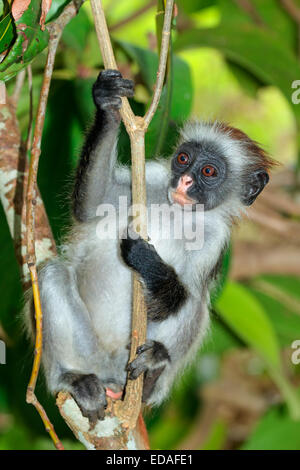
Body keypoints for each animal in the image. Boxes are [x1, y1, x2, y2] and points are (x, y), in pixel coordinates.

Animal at [25, 70, 274, 426]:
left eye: (208, 171)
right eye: (183, 159)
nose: (184, 181)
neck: (180, 212)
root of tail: (114, 374)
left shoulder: (215, 240)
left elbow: (174, 300)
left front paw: (146, 261)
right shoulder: (154, 176)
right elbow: (90, 207)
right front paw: (108, 103)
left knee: (195, 303)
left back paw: (152, 373)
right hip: (91, 353)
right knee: (52, 276)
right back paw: (74, 379)